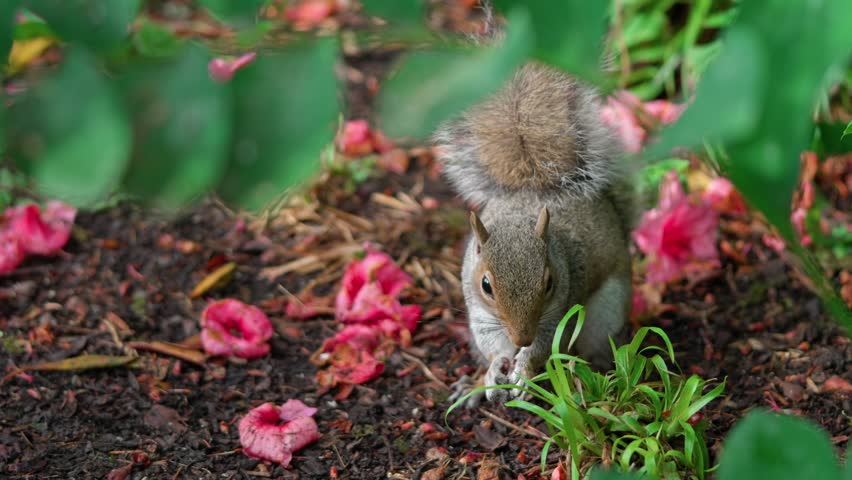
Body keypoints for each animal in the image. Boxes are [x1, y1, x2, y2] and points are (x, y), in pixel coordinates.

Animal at [434, 62, 636, 406]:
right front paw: (495, 369)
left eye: (550, 282)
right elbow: (493, 347)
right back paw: (473, 387)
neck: (519, 218)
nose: (522, 338)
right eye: (485, 285)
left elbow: (547, 345)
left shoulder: (564, 306)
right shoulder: (480, 313)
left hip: (605, 314)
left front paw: (525, 371)